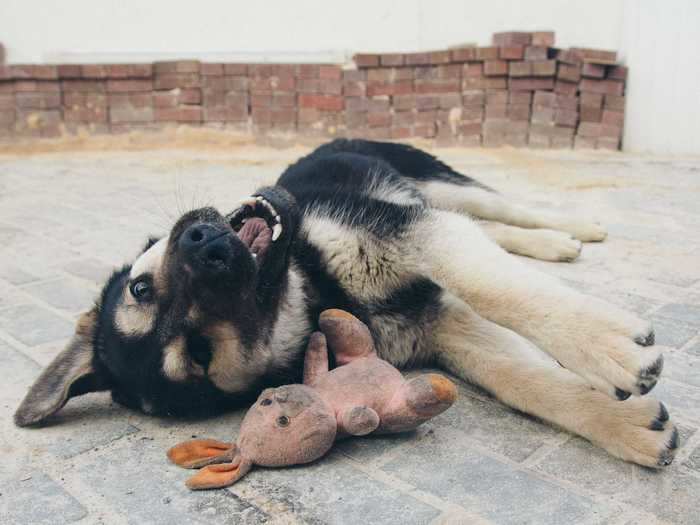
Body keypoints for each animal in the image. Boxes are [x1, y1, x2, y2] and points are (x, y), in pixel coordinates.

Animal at [13, 138, 676, 466]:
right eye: (198, 354)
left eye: (139, 289)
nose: (207, 245)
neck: (320, 291)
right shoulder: (440, 325)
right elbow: (523, 380)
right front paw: (628, 425)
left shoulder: (407, 236)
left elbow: (491, 285)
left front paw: (610, 347)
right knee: (492, 226)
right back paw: (555, 245)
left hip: (435, 181)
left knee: (502, 208)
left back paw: (574, 230)